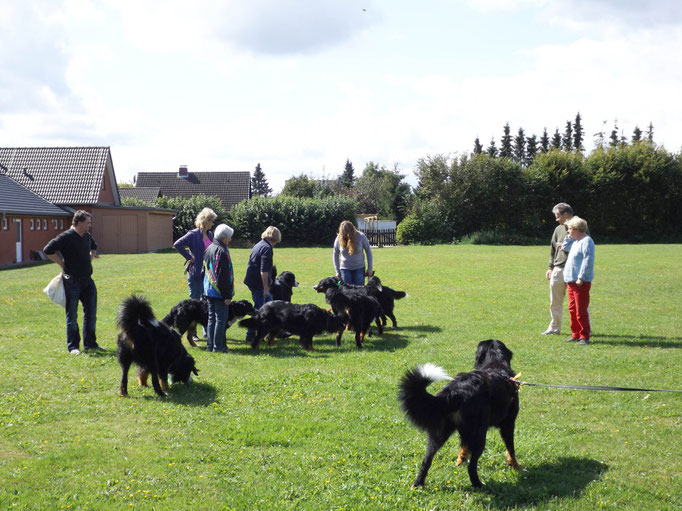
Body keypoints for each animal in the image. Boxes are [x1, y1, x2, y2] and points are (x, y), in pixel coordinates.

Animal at [398, 340, 520, 488]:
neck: (495, 363)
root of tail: (455, 391)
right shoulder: (508, 424)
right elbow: (511, 450)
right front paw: (517, 468)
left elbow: (463, 448)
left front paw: (459, 462)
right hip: (479, 435)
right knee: (472, 467)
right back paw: (478, 484)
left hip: (439, 434)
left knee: (426, 461)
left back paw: (418, 484)